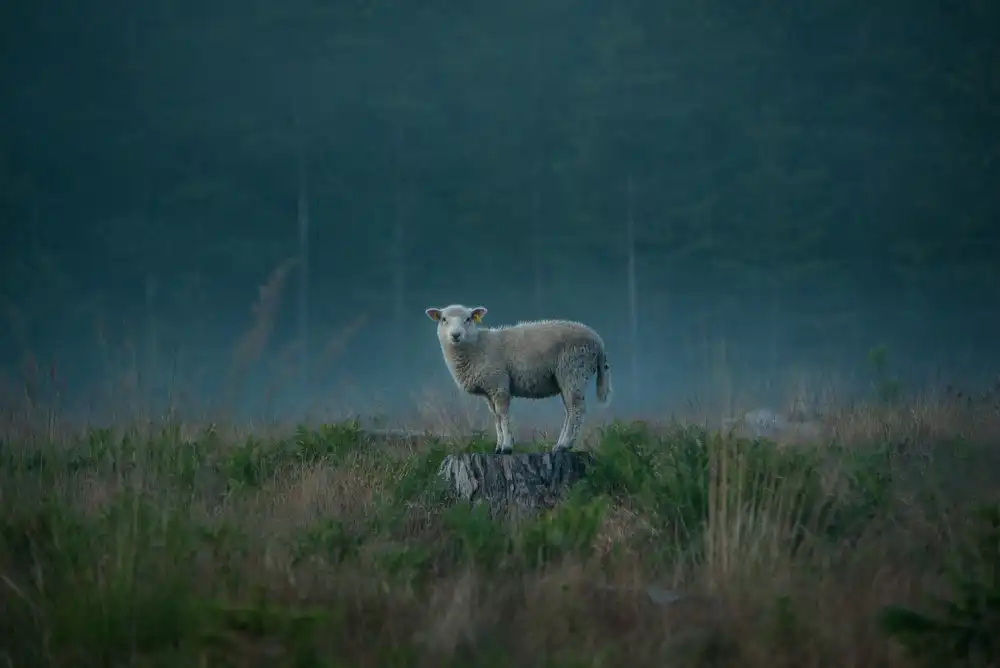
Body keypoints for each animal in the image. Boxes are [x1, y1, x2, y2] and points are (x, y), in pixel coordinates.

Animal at [425, 304, 612, 454]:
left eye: (468, 319)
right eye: (443, 319)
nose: (455, 335)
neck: (477, 347)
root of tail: (598, 341)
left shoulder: (499, 383)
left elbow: (503, 414)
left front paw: (507, 446)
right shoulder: (489, 389)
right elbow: (496, 417)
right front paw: (499, 446)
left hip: (573, 369)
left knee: (577, 409)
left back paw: (564, 445)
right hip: (567, 376)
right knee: (570, 410)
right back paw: (560, 444)